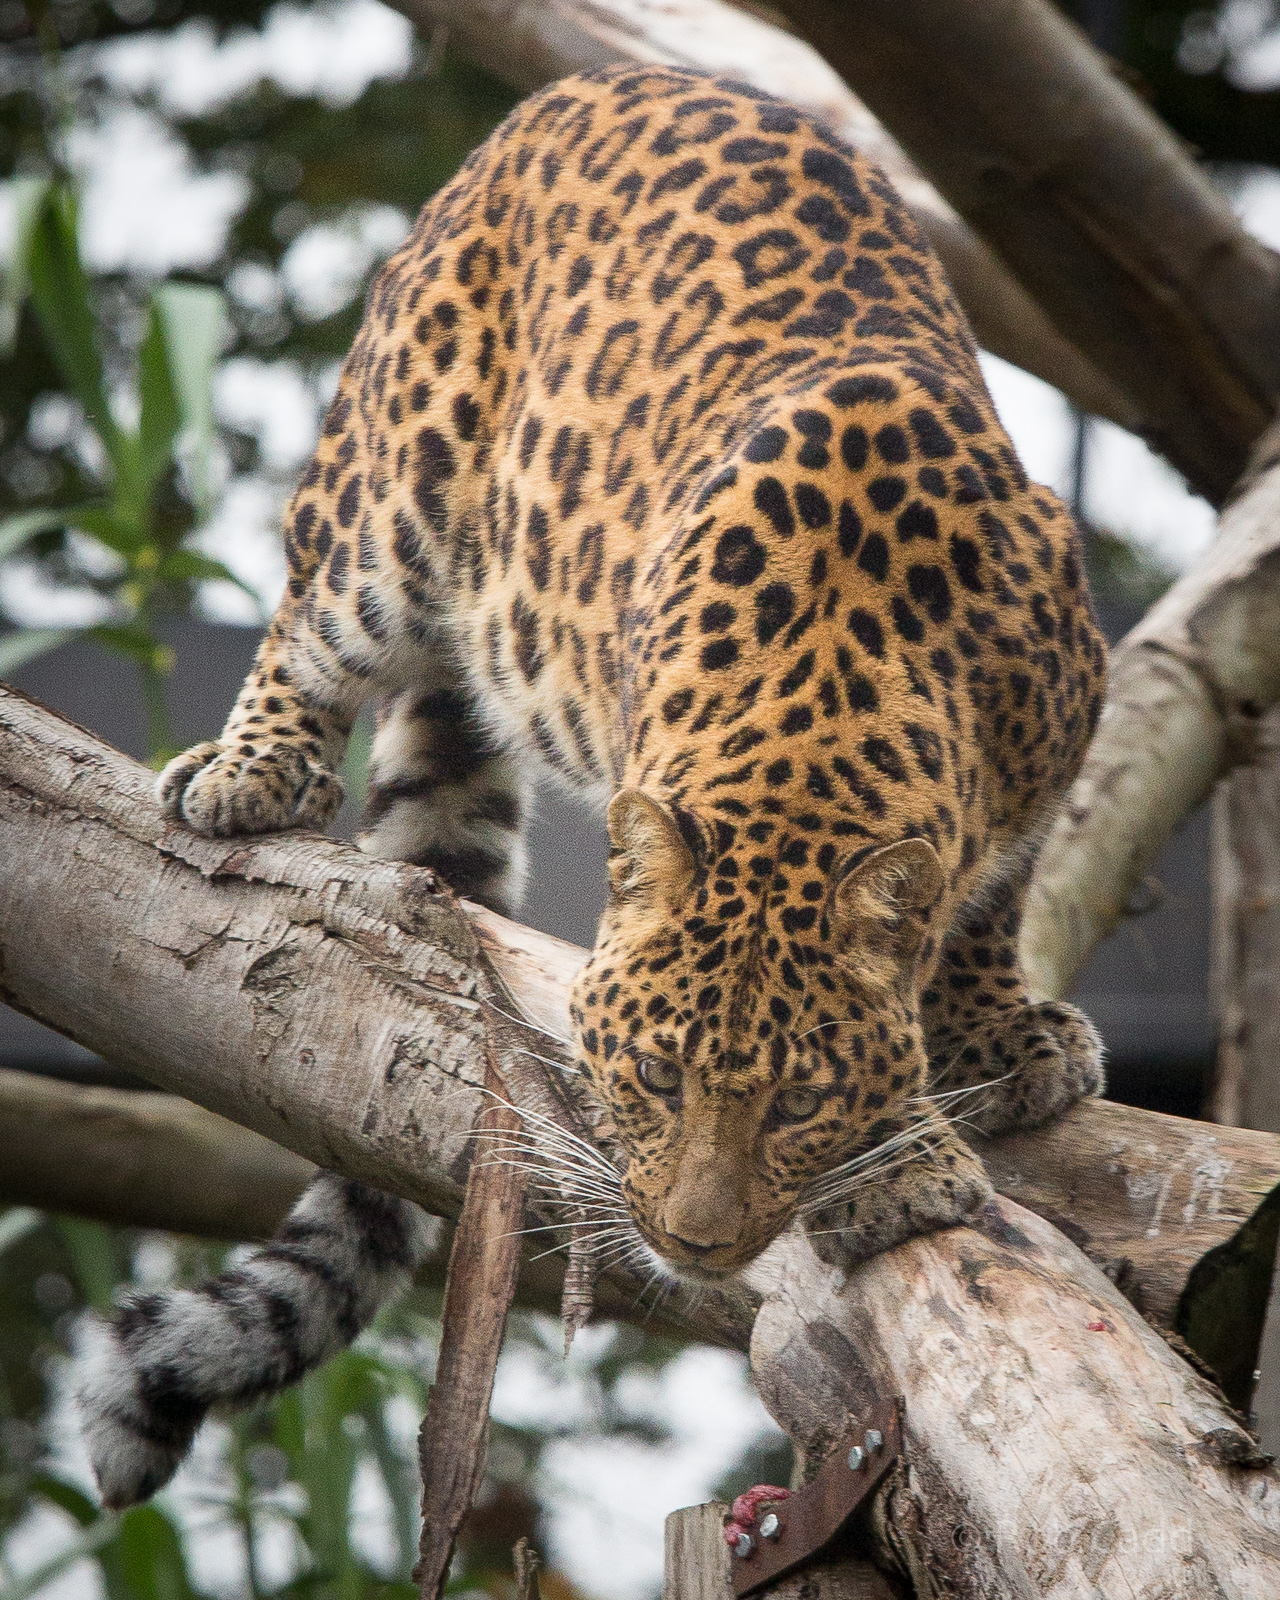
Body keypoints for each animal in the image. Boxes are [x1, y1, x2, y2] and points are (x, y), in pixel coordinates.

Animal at [77, 64, 1106, 1509]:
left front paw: (998, 1037)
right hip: (392, 488)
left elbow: (981, 910)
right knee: (309, 619)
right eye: (660, 1078)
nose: (693, 1237)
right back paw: (246, 771)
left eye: (798, 1101)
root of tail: (588, 83)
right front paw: (906, 1165)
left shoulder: (1051, 749)